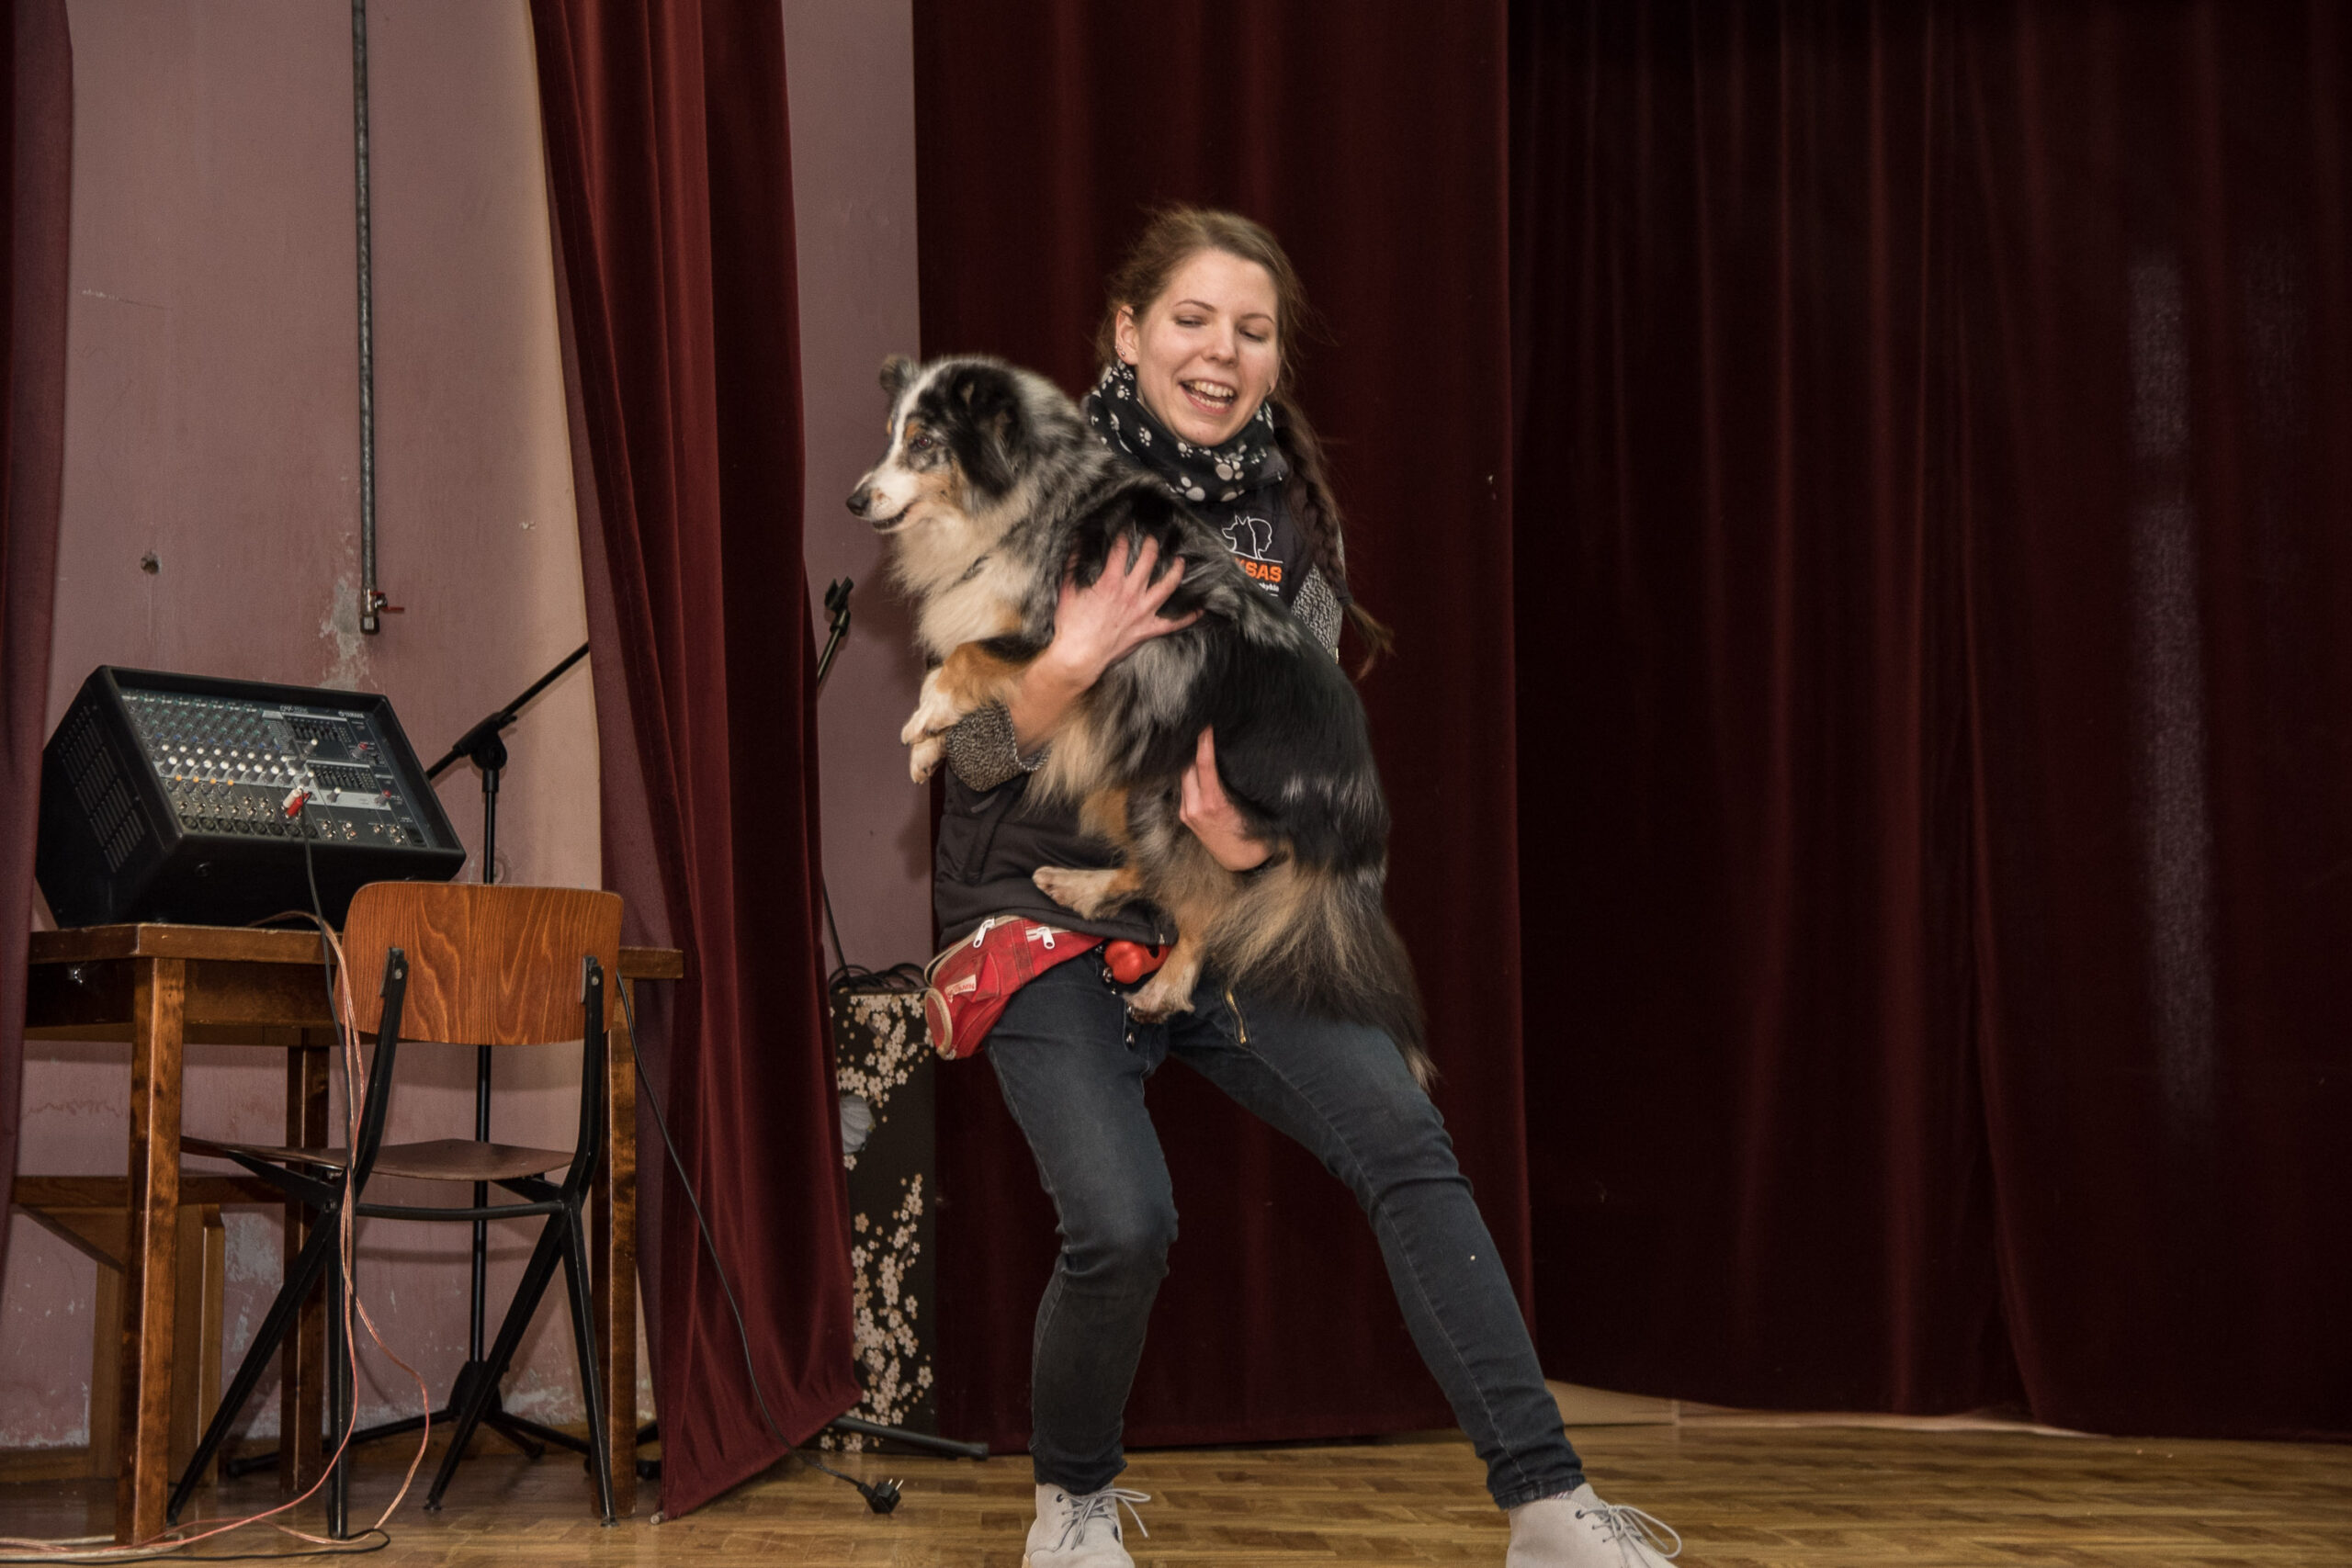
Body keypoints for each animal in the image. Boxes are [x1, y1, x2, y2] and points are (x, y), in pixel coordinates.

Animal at [847, 354, 1426, 1080]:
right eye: (891, 437)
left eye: (924, 441)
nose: (856, 499)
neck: (1028, 499)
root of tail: (1359, 805)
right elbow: (961, 675)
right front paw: (928, 745)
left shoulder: (1053, 637)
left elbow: (961, 657)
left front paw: (925, 715)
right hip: (1133, 768)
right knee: (1158, 870)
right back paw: (1079, 889)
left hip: (1183, 781)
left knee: (1208, 900)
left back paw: (1163, 987)